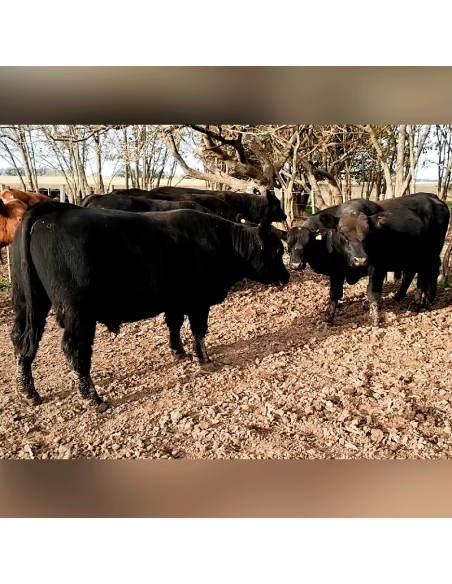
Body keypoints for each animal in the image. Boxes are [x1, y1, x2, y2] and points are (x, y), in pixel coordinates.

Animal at [11, 203, 290, 412]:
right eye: (278, 250)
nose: (287, 276)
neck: (223, 242)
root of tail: (55, 211)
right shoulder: (199, 302)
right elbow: (199, 331)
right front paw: (205, 359)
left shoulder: (175, 300)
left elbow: (174, 324)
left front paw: (178, 351)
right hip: (78, 314)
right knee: (75, 351)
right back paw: (94, 398)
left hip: (28, 303)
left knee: (23, 341)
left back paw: (29, 391)